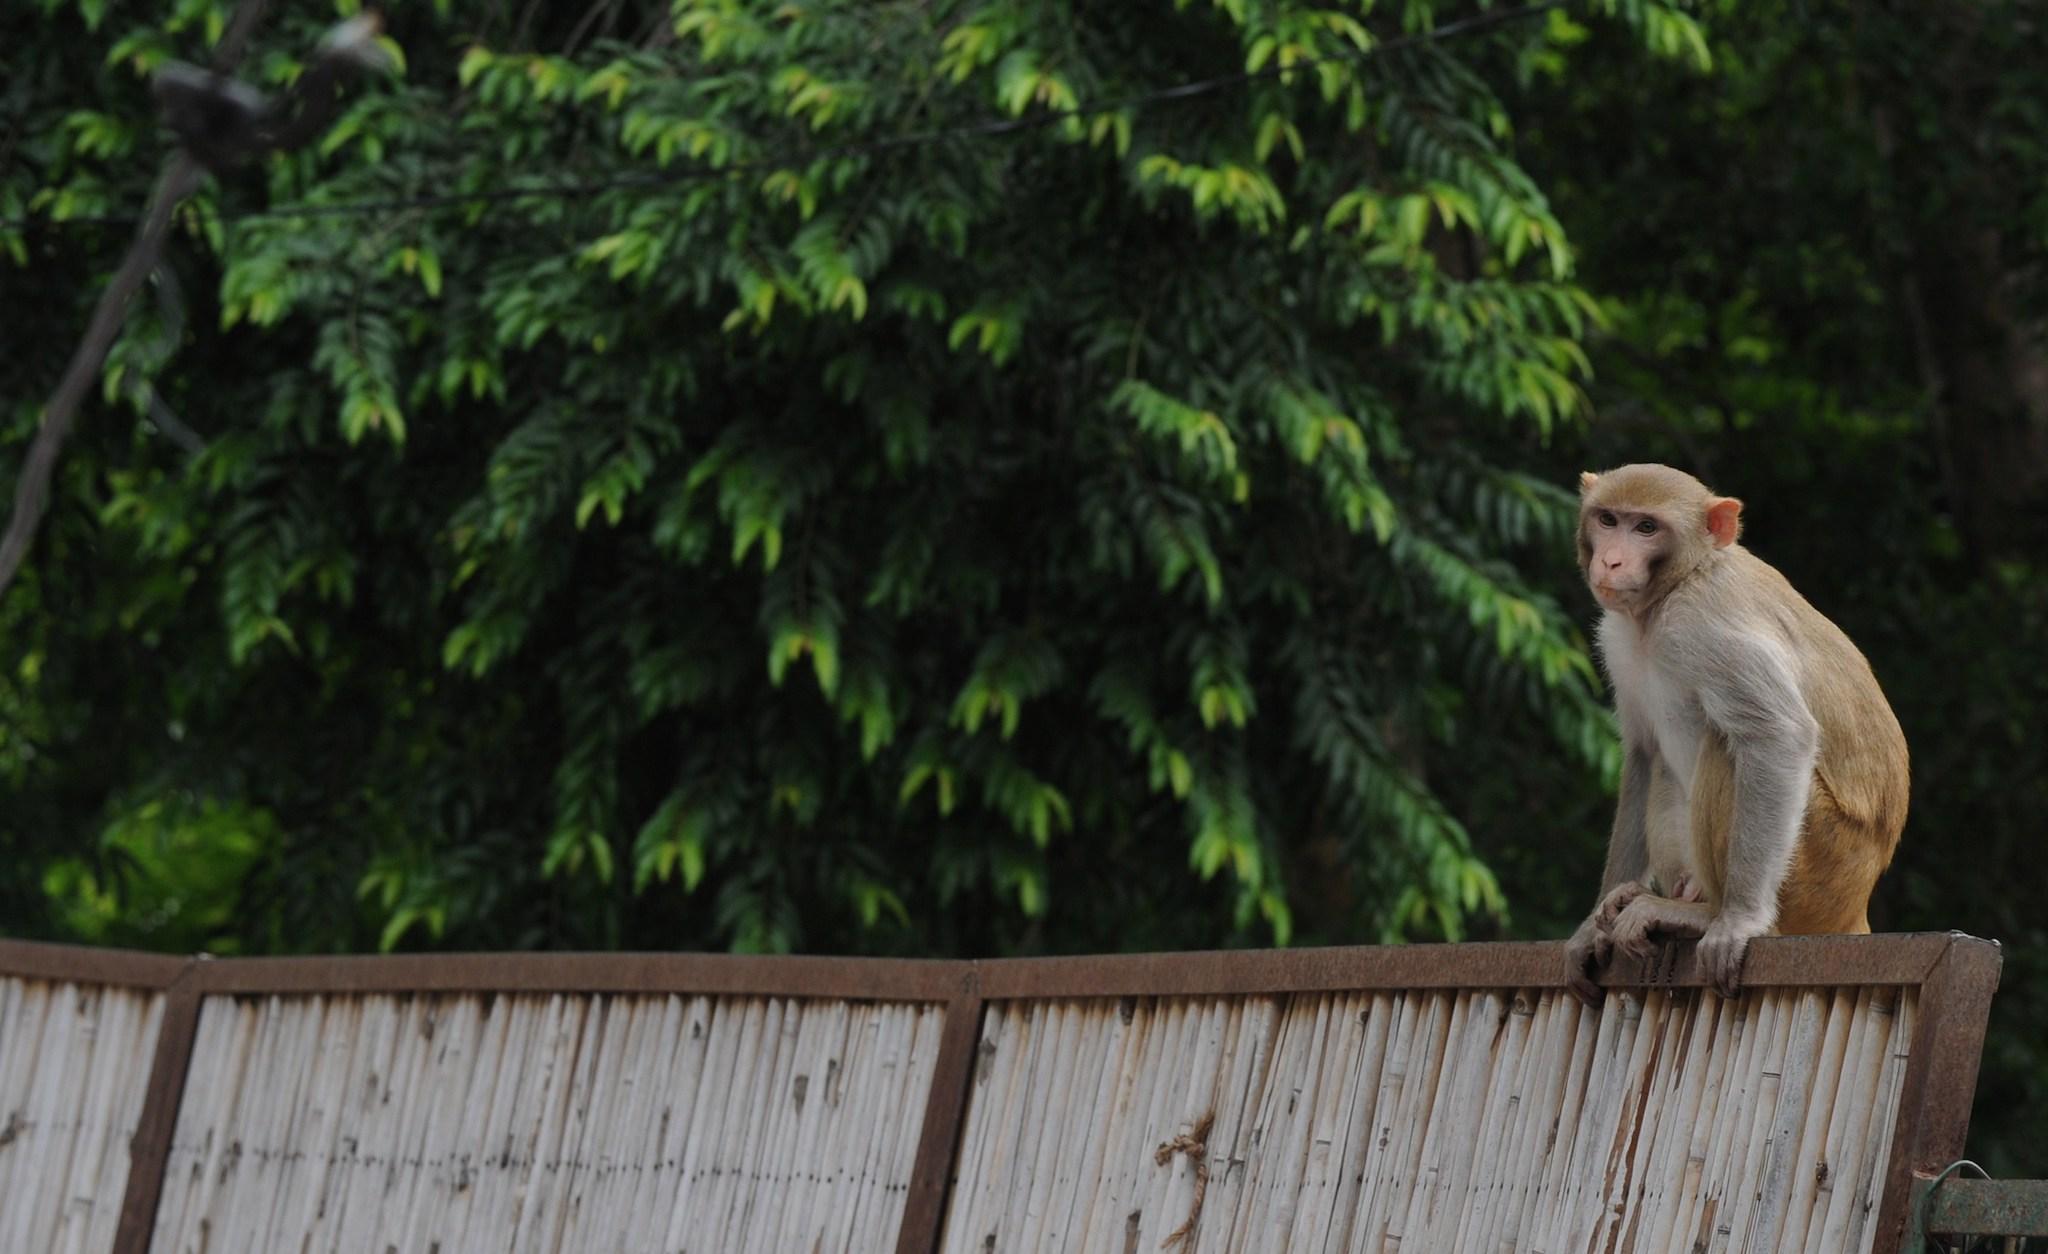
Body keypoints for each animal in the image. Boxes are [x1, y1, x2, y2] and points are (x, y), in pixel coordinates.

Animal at [1561, 464, 1909, 1002]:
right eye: (1608, 519)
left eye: (1646, 528)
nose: (1612, 560)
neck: (1672, 592)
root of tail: (1858, 902)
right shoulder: (1617, 637)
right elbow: (1642, 753)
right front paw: (1587, 929)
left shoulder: (1705, 625)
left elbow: (1778, 735)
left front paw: (1740, 920)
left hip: (1821, 869)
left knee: (1730, 745)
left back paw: (1701, 915)